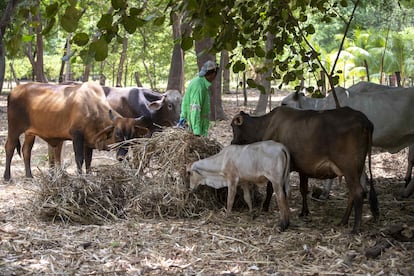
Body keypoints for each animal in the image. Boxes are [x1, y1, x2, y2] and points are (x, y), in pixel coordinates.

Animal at [3, 81, 149, 181]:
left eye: (132, 136)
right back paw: (7, 176)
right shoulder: (77, 136)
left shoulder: (89, 141)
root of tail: (15, 89)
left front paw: (89, 176)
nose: (121, 157)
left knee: (26, 151)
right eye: (117, 133)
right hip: (14, 128)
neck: (92, 108)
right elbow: (79, 159)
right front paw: (80, 178)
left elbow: (89, 160)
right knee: (9, 147)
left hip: (30, 133)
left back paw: (29, 176)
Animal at [231, 105, 380, 233]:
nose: (232, 142)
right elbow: (303, 189)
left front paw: (265, 207)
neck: (266, 124)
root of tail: (364, 119)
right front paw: (304, 212)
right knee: (353, 194)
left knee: (358, 193)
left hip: (349, 167)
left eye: (233, 127)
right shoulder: (303, 168)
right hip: (357, 169)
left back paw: (355, 229)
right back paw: (343, 221)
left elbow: (270, 189)